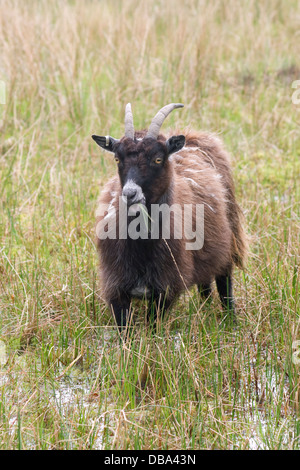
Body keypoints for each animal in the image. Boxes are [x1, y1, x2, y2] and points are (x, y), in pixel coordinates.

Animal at [92, 103, 247, 330]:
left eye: (158, 159)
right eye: (117, 158)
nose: (130, 193)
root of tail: (192, 136)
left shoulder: (166, 288)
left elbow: (153, 327)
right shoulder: (115, 286)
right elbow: (124, 330)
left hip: (229, 241)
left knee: (224, 284)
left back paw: (231, 322)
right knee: (205, 287)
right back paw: (206, 312)